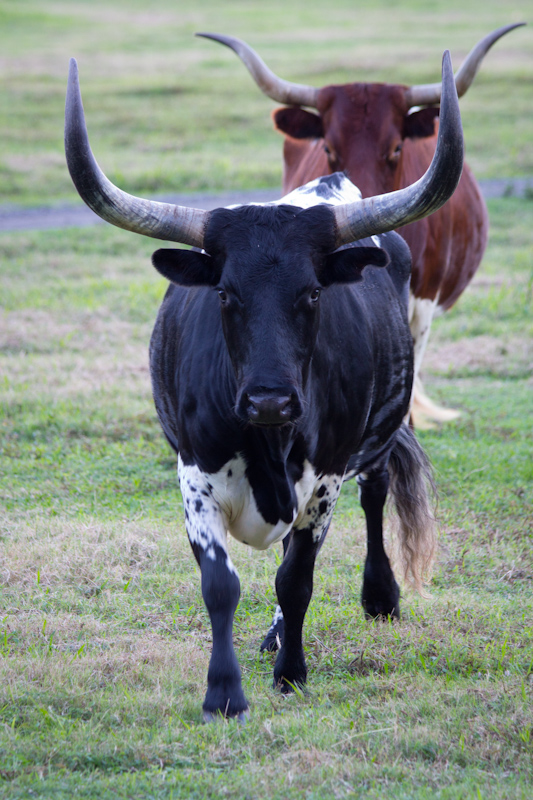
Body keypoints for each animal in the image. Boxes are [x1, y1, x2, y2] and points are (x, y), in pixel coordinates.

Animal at [63, 53, 462, 720]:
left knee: (375, 493)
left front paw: (291, 672)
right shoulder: (193, 477)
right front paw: (224, 692)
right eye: (225, 293)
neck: (267, 444)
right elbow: (221, 584)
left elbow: (295, 580)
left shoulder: (324, 481)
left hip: (380, 428)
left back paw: (378, 597)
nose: (270, 400)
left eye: (313, 293)